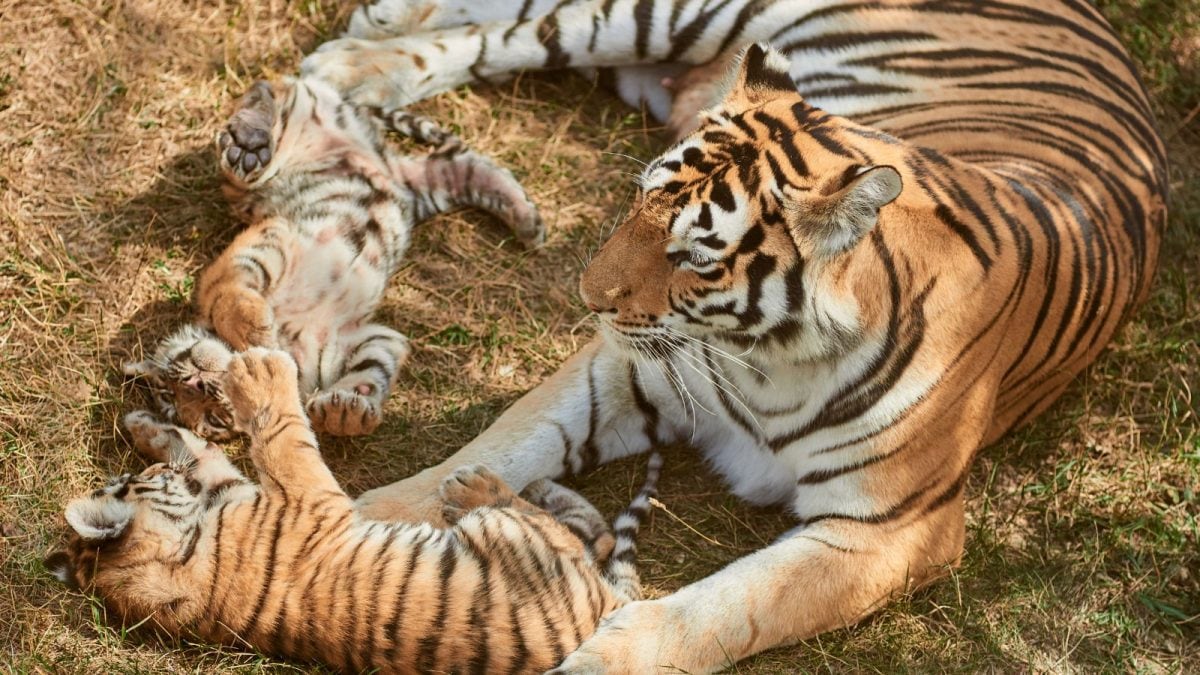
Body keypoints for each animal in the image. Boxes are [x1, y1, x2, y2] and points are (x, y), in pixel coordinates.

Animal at [47, 348, 662, 674]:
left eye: (125, 479)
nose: (145, 470)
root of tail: (610, 607)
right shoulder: (306, 500)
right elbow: (284, 435)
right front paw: (261, 372)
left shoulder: (235, 491)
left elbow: (206, 452)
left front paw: (147, 427)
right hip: (513, 543)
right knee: (570, 533)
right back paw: (481, 485)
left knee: (596, 536)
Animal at [124, 76, 544, 440]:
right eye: (211, 419)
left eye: (173, 380)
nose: (196, 384)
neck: (288, 336)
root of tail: (380, 158)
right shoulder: (367, 337)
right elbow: (374, 369)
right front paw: (346, 410)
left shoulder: (274, 236)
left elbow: (223, 292)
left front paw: (254, 330)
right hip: (429, 188)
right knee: (466, 167)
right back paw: (529, 221)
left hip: (293, 127)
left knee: (269, 92)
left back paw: (248, 138)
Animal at [297, 0, 1169, 671]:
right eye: (638, 200)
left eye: (692, 254)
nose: (587, 297)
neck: (772, 358)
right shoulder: (626, 369)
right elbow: (503, 441)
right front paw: (370, 517)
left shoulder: (890, 528)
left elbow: (732, 606)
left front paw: (608, 655)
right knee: (523, 30)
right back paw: (351, 66)